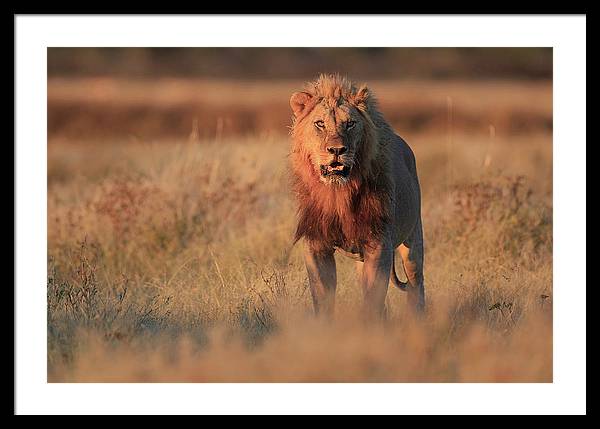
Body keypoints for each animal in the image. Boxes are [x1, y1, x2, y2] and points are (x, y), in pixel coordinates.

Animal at [288, 74, 424, 318]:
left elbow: (373, 299)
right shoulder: (316, 244)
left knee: (417, 286)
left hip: (413, 242)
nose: (337, 150)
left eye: (350, 123)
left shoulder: (378, 244)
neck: (337, 194)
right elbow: (322, 296)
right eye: (320, 124)